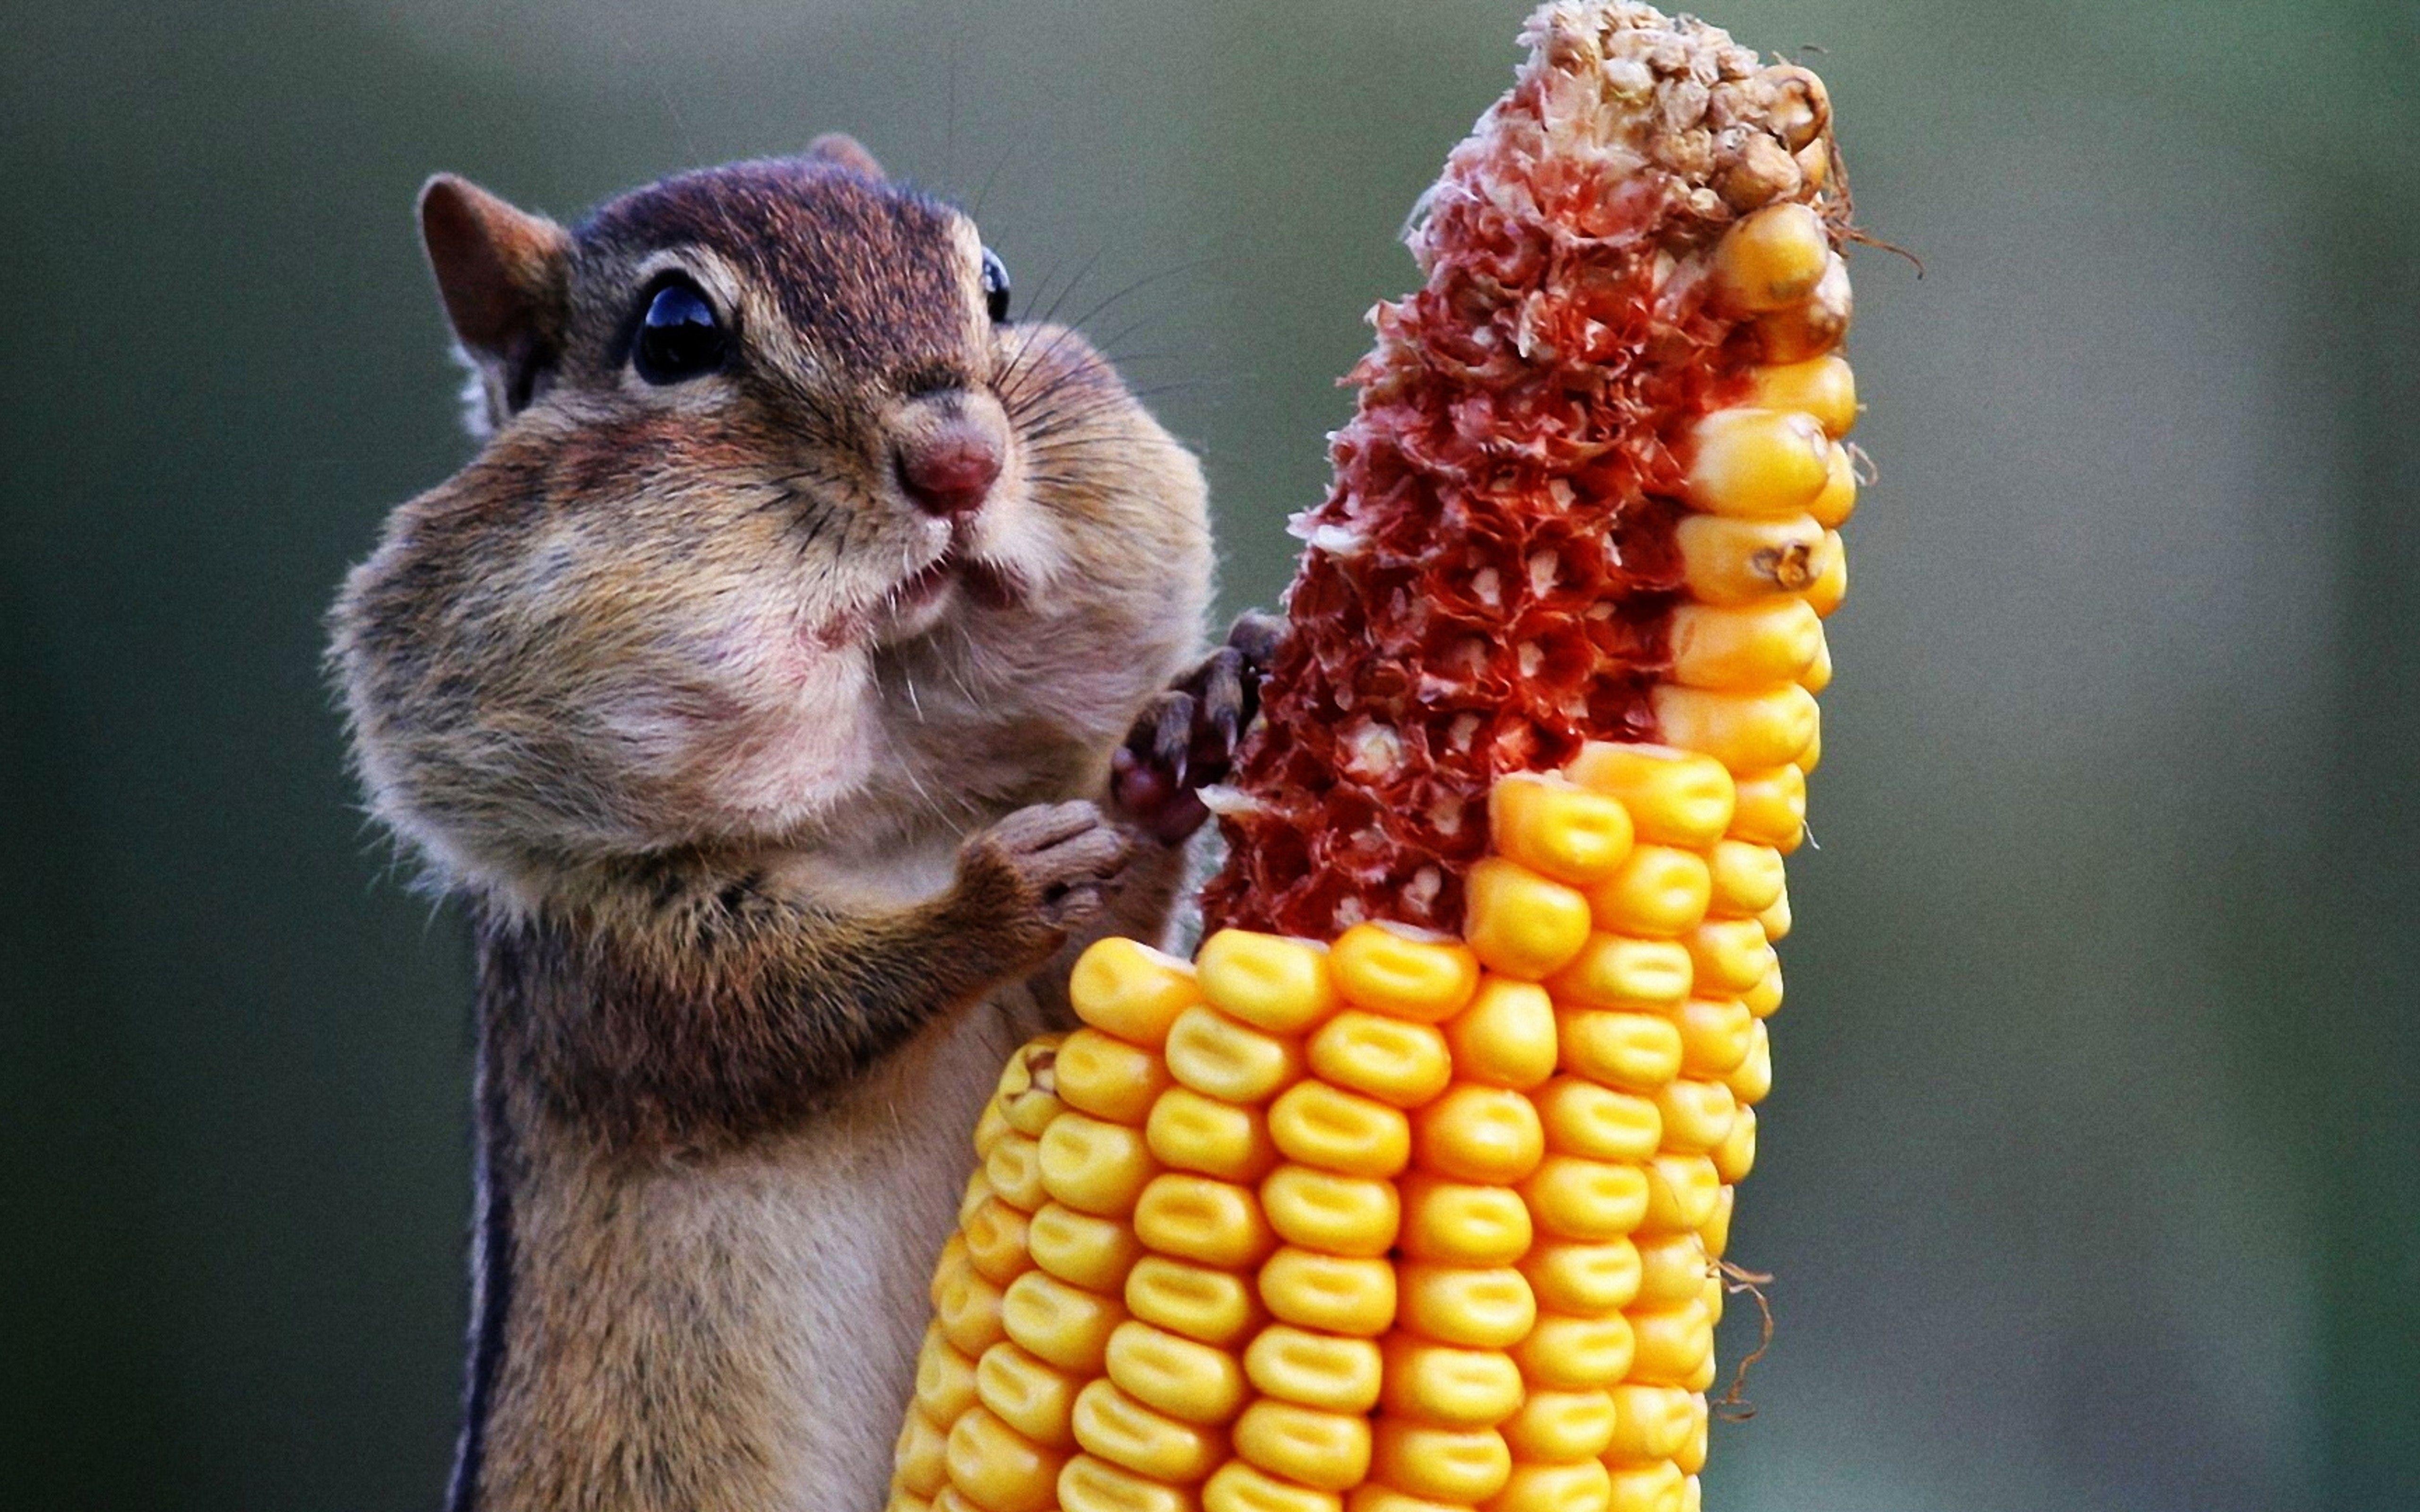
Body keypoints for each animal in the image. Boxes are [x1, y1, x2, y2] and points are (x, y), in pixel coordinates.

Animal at [329, 135, 1274, 1512]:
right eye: (675, 334)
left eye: (994, 284)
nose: (962, 459)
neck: (886, 812)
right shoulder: (608, 967)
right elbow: (775, 1014)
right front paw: (992, 896)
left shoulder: (1040, 1021)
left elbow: (1093, 987)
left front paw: (1183, 734)